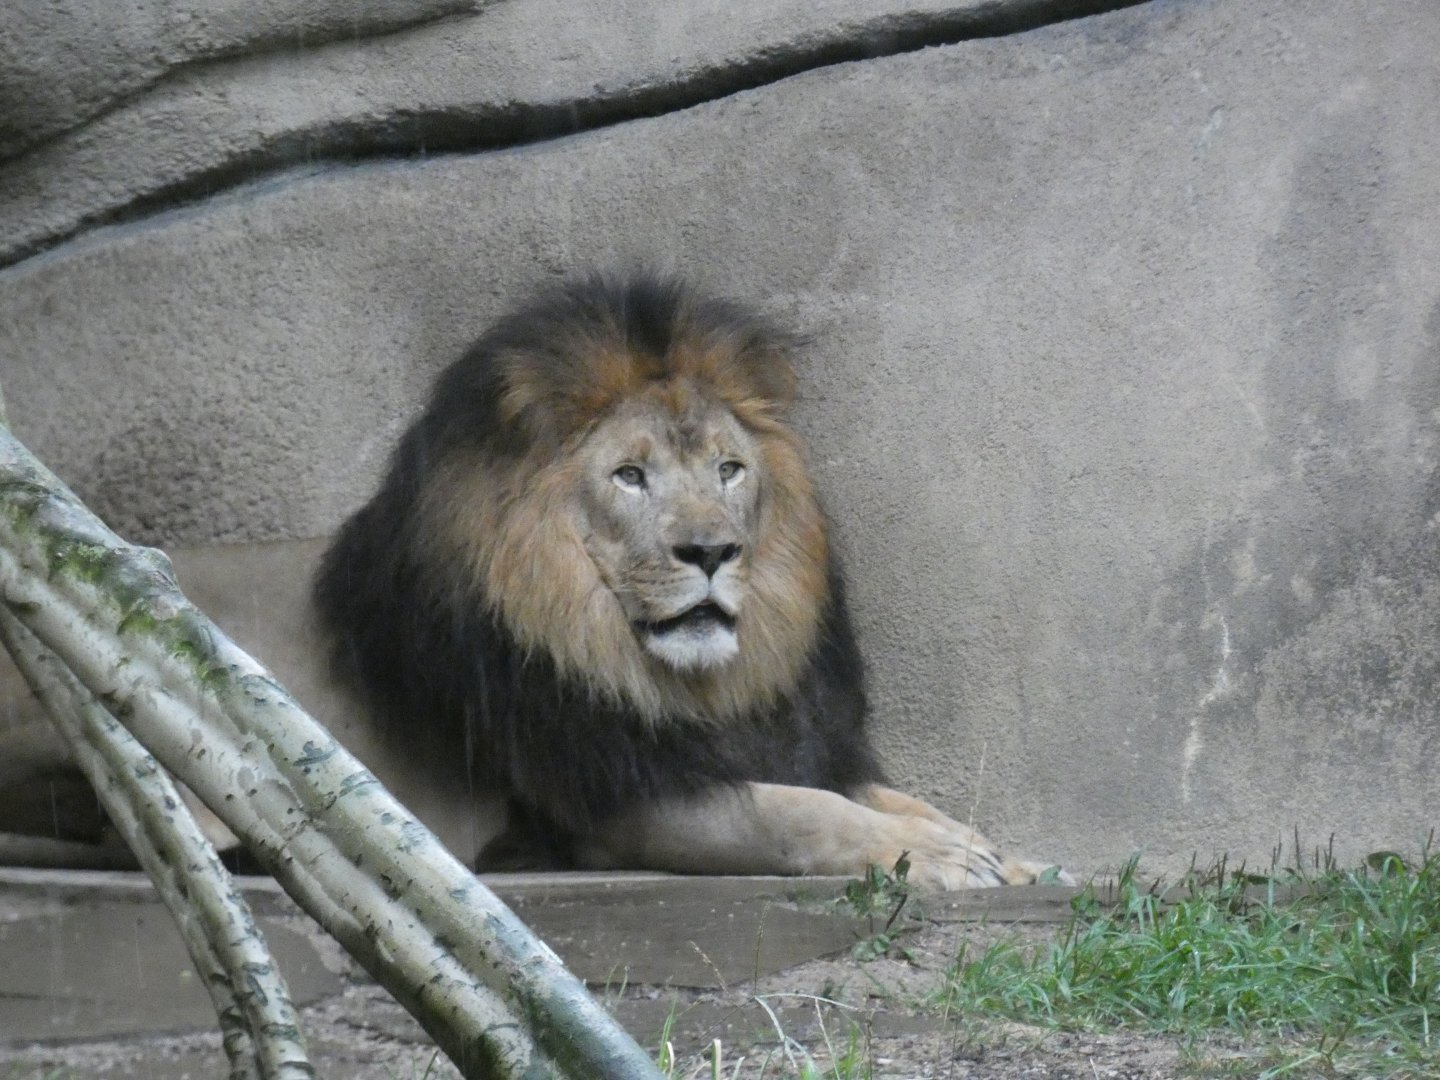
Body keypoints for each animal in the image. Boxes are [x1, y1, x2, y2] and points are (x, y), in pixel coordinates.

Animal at [314, 272, 1060, 889]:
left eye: (728, 469)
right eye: (629, 476)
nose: (711, 551)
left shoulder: (768, 744)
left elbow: (885, 795)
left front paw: (1011, 859)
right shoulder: (614, 803)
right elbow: (795, 812)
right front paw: (933, 855)